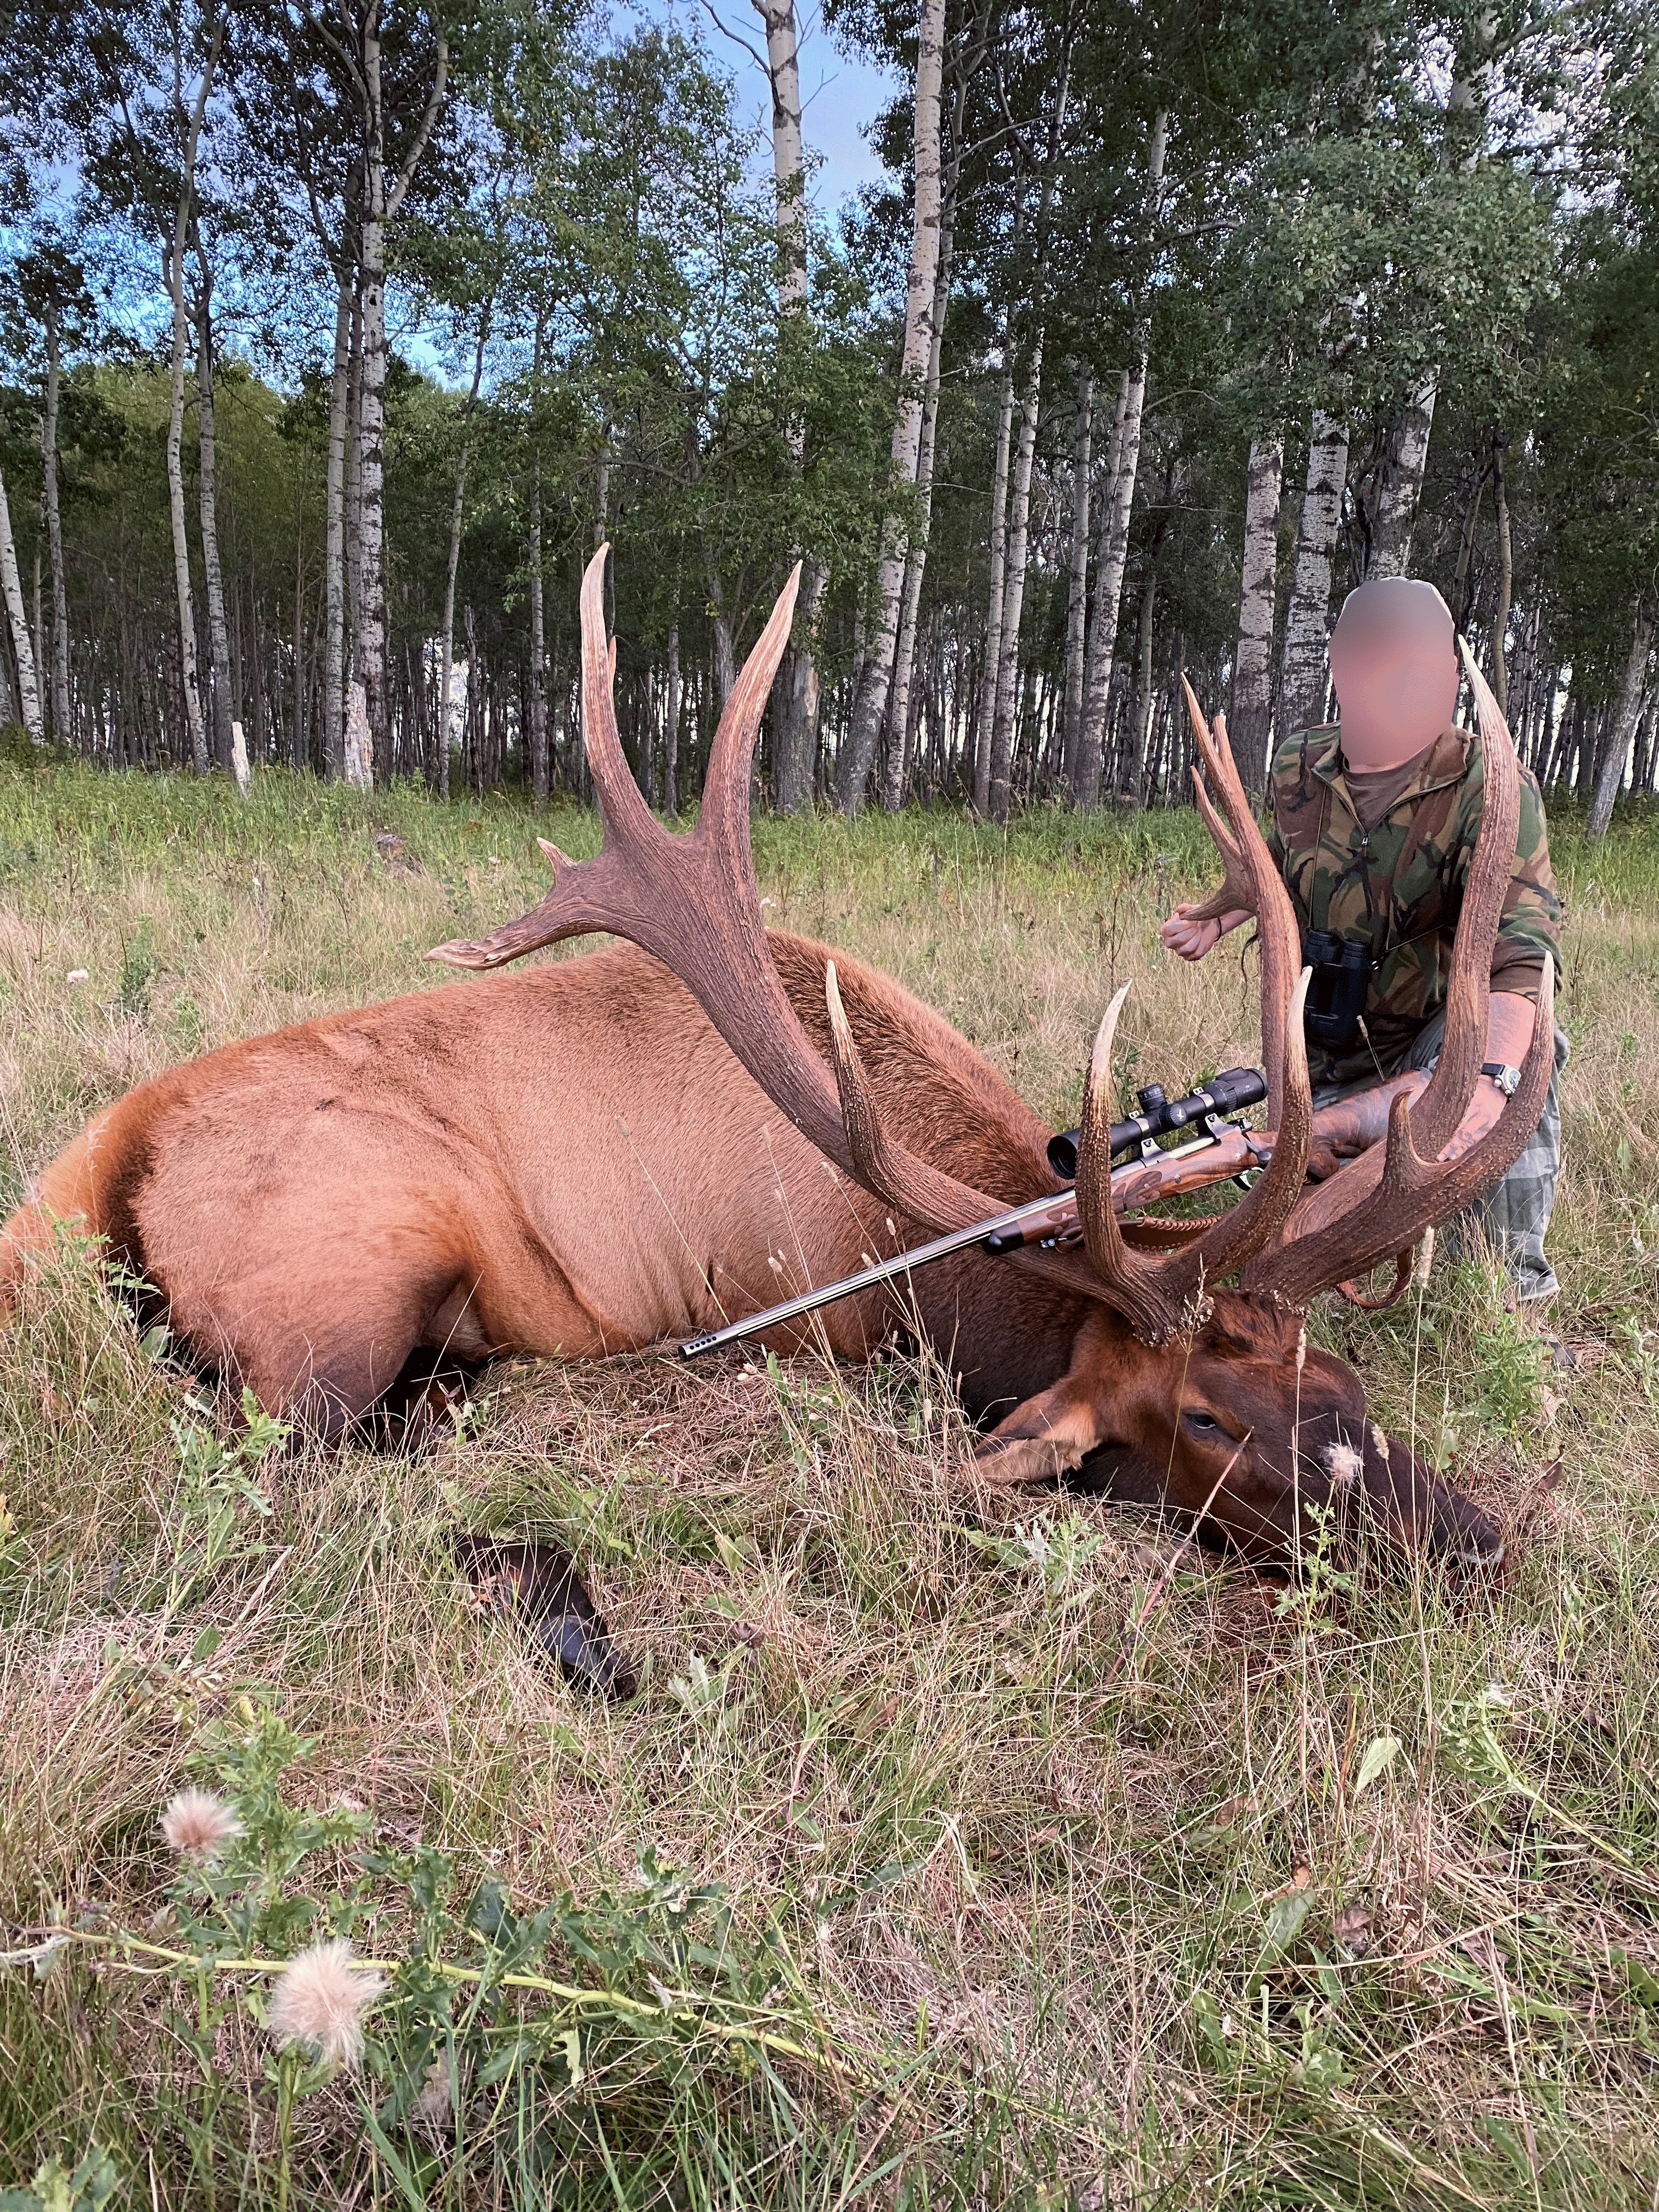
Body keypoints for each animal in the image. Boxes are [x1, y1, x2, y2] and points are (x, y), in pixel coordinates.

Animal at [2, 548, 1554, 1581]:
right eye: (1208, 1421)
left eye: (1341, 1382)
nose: (1478, 1543)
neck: (931, 1279)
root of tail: (112, 1176)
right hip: (352, 1281)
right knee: (286, 1438)